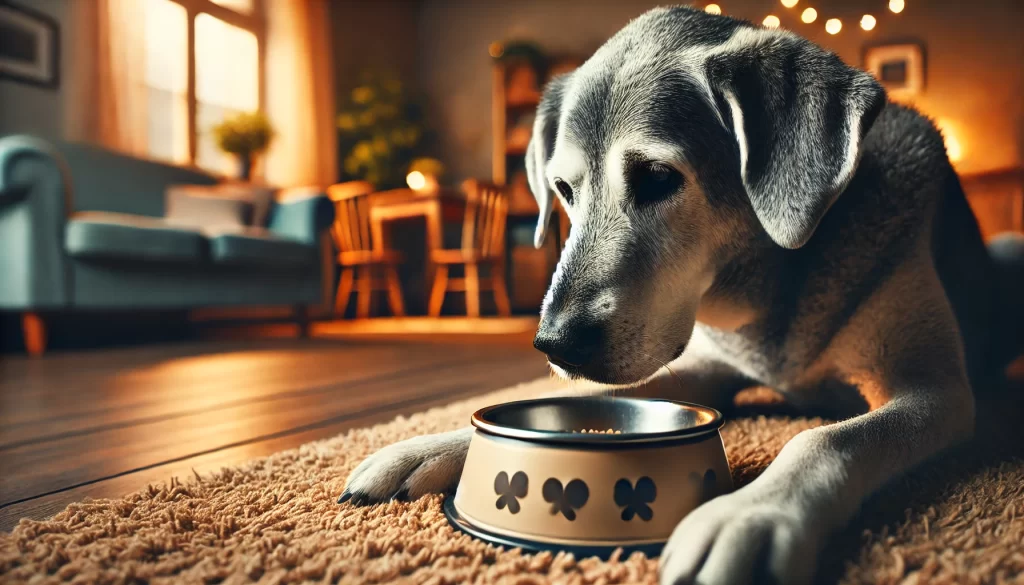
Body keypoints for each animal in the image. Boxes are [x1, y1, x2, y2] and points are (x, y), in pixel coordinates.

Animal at [342, 5, 1024, 585]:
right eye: (563, 190)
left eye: (656, 178)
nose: (554, 343)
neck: (773, 293)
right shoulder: (702, 364)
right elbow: (581, 400)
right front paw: (428, 446)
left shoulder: (934, 392)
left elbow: (827, 437)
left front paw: (751, 513)